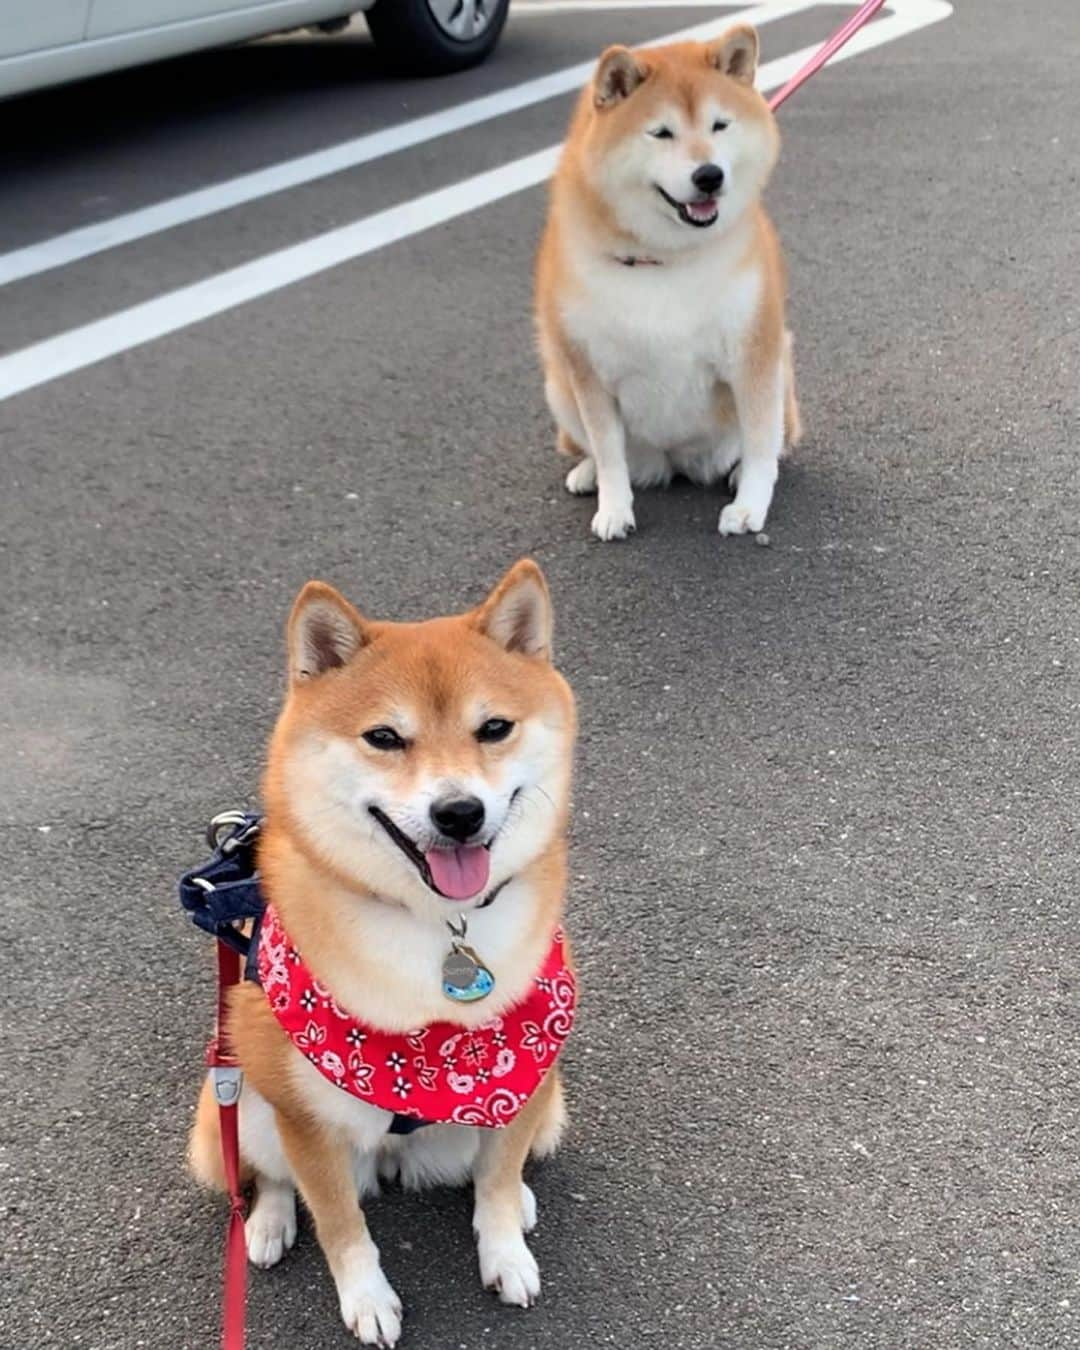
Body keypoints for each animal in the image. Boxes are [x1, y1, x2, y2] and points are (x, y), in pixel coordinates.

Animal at [187, 556, 572, 1339]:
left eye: (494, 728)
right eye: (385, 738)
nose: (459, 812)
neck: (439, 927)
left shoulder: (526, 1071)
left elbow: (496, 1181)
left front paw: (505, 1249)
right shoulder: (305, 1118)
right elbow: (340, 1223)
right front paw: (366, 1298)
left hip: (546, 1107)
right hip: (240, 1085)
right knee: (266, 1173)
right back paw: (266, 1223)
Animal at [540, 23, 799, 540]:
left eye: (720, 125)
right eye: (661, 133)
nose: (709, 175)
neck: (664, 258)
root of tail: (676, 463)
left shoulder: (754, 354)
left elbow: (762, 444)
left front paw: (750, 506)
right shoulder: (586, 370)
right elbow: (608, 452)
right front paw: (613, 508)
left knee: (764, 443)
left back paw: (736, 473)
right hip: (558, 385)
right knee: (601, 451)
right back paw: (586, 473)